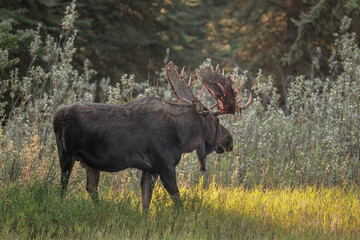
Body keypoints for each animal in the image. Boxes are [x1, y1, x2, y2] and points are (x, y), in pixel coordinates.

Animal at [52, 62, 250, 210]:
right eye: (216, 121)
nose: (229, 140)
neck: (184, 137)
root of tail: (55, 117)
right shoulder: (165, 165)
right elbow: (177, 201)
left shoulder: (150, 169)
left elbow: (145, 204)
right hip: (67, 154)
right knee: (62, 187)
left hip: (90, 164)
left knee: (91, 188)